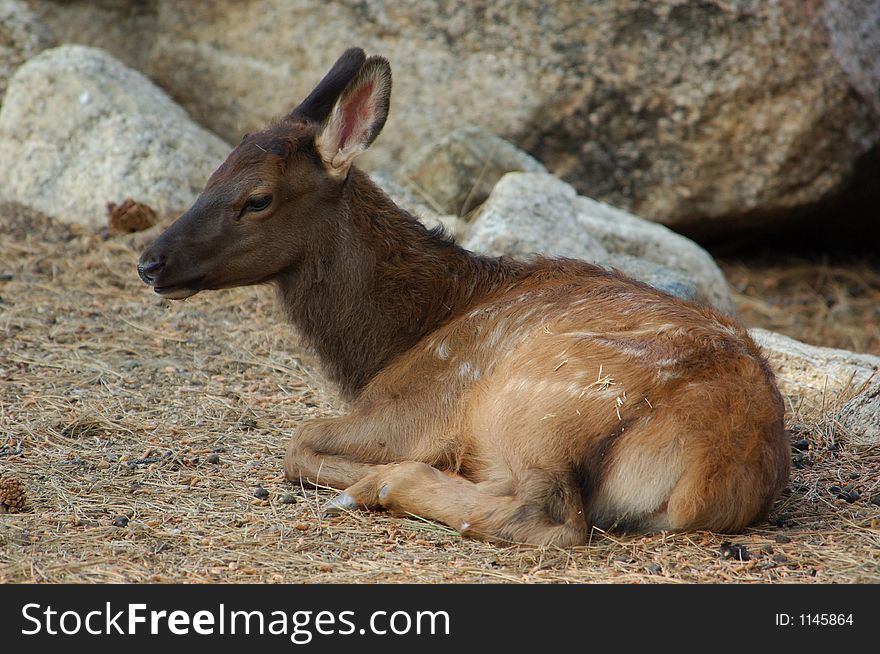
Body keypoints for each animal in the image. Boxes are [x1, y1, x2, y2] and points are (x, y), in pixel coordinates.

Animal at [139, 47, 792, 548]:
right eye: (209, 176)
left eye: (257, 199)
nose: (151, 261)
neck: (397, 338)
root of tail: (708, 473)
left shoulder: (419, 405)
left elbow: (297, 442)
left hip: (538, 408)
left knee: (550, 519)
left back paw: (380, 486)